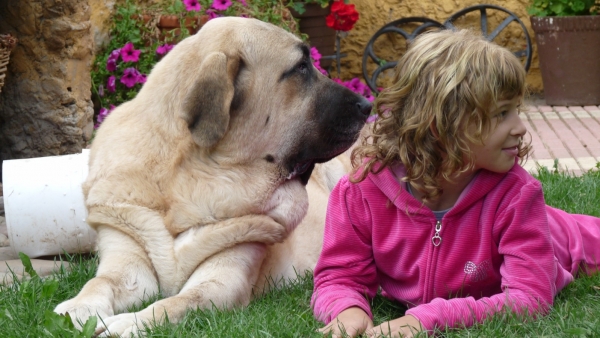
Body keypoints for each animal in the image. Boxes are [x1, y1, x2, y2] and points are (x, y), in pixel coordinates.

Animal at [54, 16, 368, 336]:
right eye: (301, 67)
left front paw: (131, 322)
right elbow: (100, 281)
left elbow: (177, 302)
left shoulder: (223, 279)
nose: (366, 105)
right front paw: (79, 308)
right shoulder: (127, 254)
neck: (193, 180)